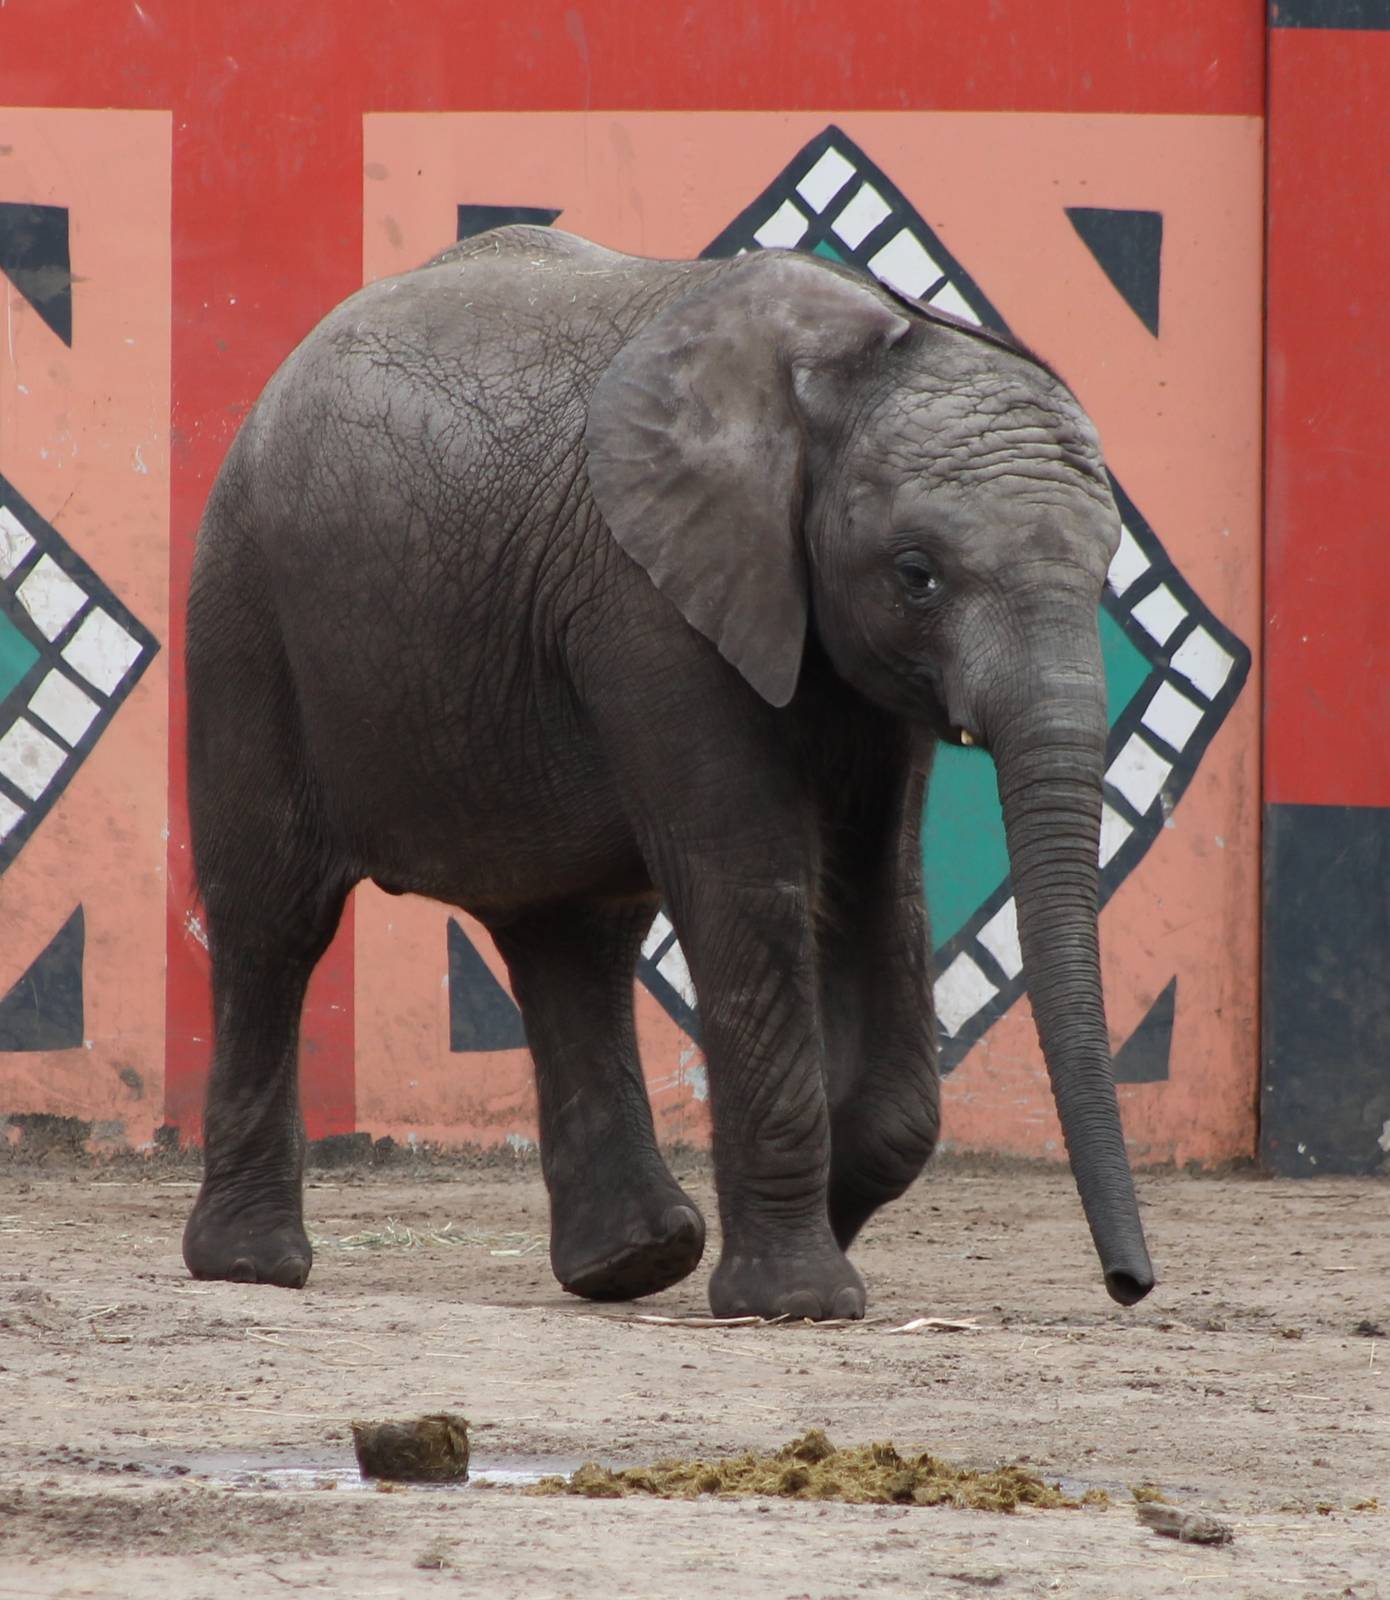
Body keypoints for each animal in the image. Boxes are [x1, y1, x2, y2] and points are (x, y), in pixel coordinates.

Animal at [180, 224, 1155, 1321]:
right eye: (917, 574)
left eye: (1108, 567)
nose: (1128, 1284)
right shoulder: (648, 604)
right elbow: (746, 878)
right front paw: (798, 1300)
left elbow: (880, 889)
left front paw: (817, 1231)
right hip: (245, 611)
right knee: (274, 917)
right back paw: (253, 1266)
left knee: (573, 938)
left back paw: (633, 1262)